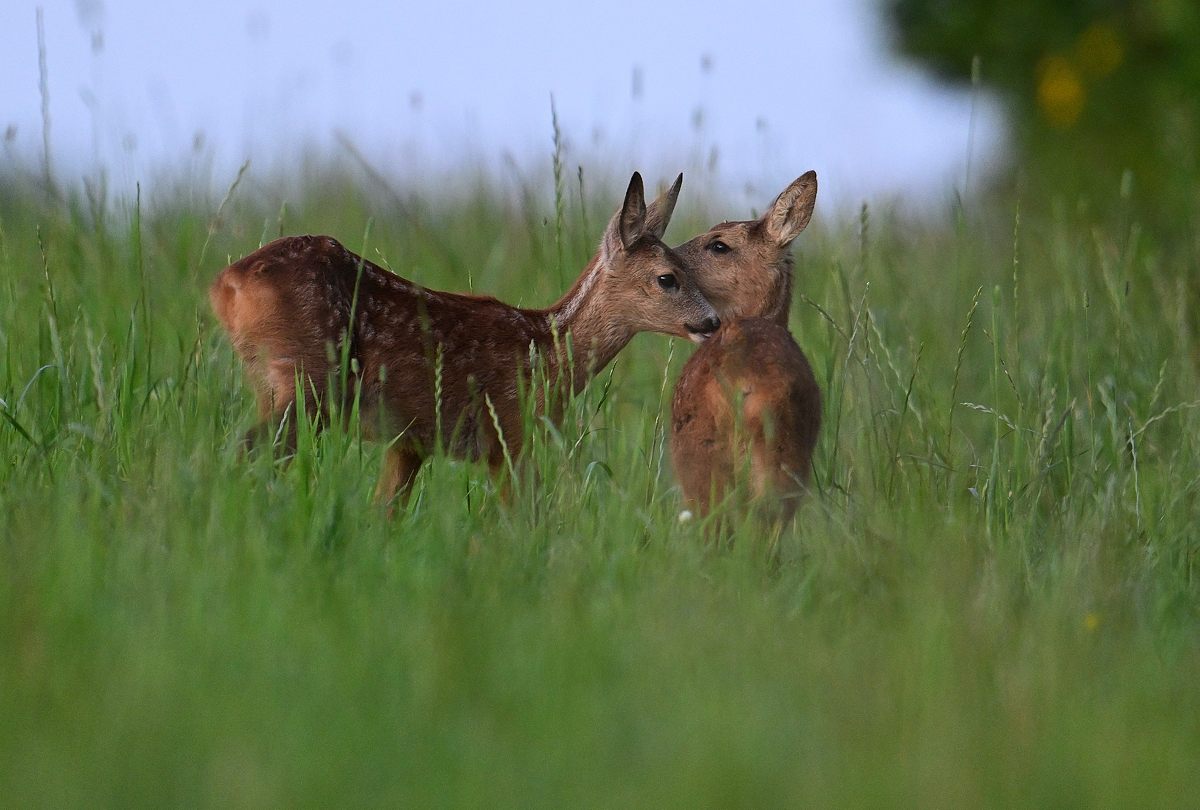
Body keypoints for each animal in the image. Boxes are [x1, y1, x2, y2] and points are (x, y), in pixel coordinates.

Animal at [210, 174, 715, 504]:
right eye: (667, 278)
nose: (711, 321)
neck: (547, 351)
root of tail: (226, 285)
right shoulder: (509, 436)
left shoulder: (408, 444)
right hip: (305, 381)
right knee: (245, 452)